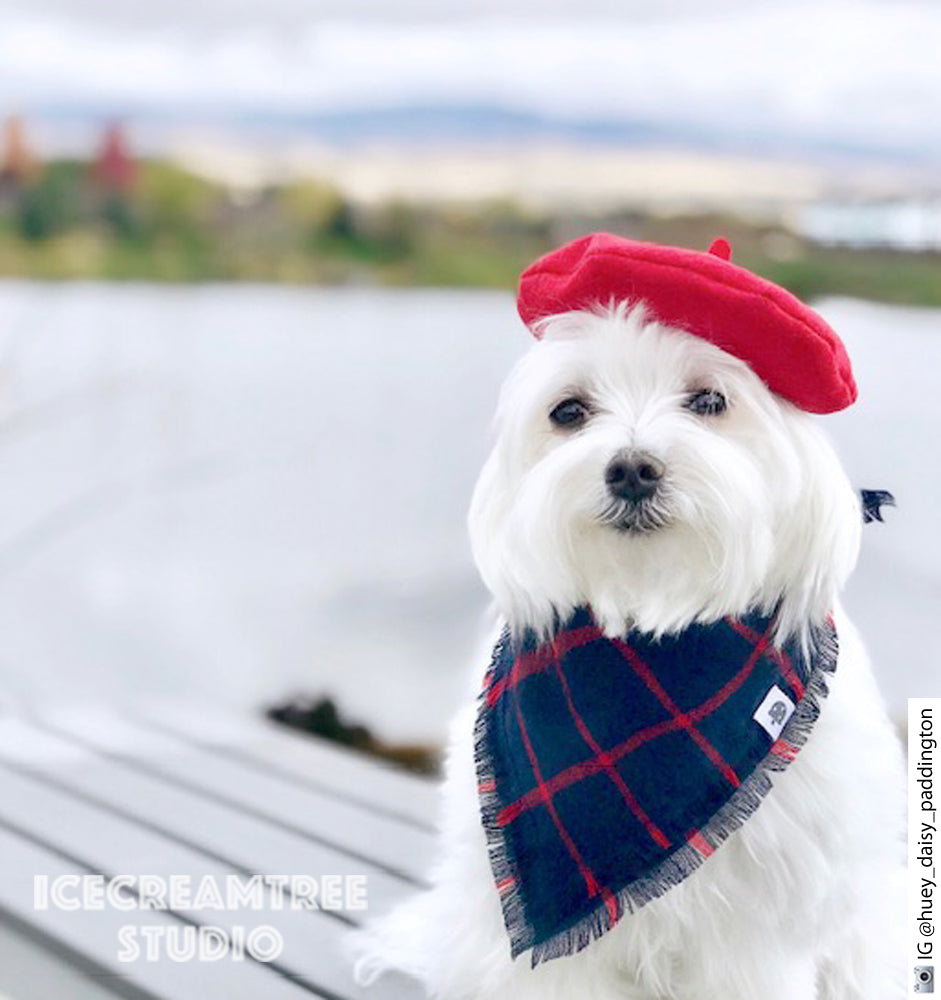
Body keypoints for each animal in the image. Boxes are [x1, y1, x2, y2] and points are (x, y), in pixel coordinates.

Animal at [350, 300, 904, 996]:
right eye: (568, 411)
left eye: (710, 400)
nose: (632, 468)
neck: (654, 617)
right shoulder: (558, 958)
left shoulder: (757, 926)